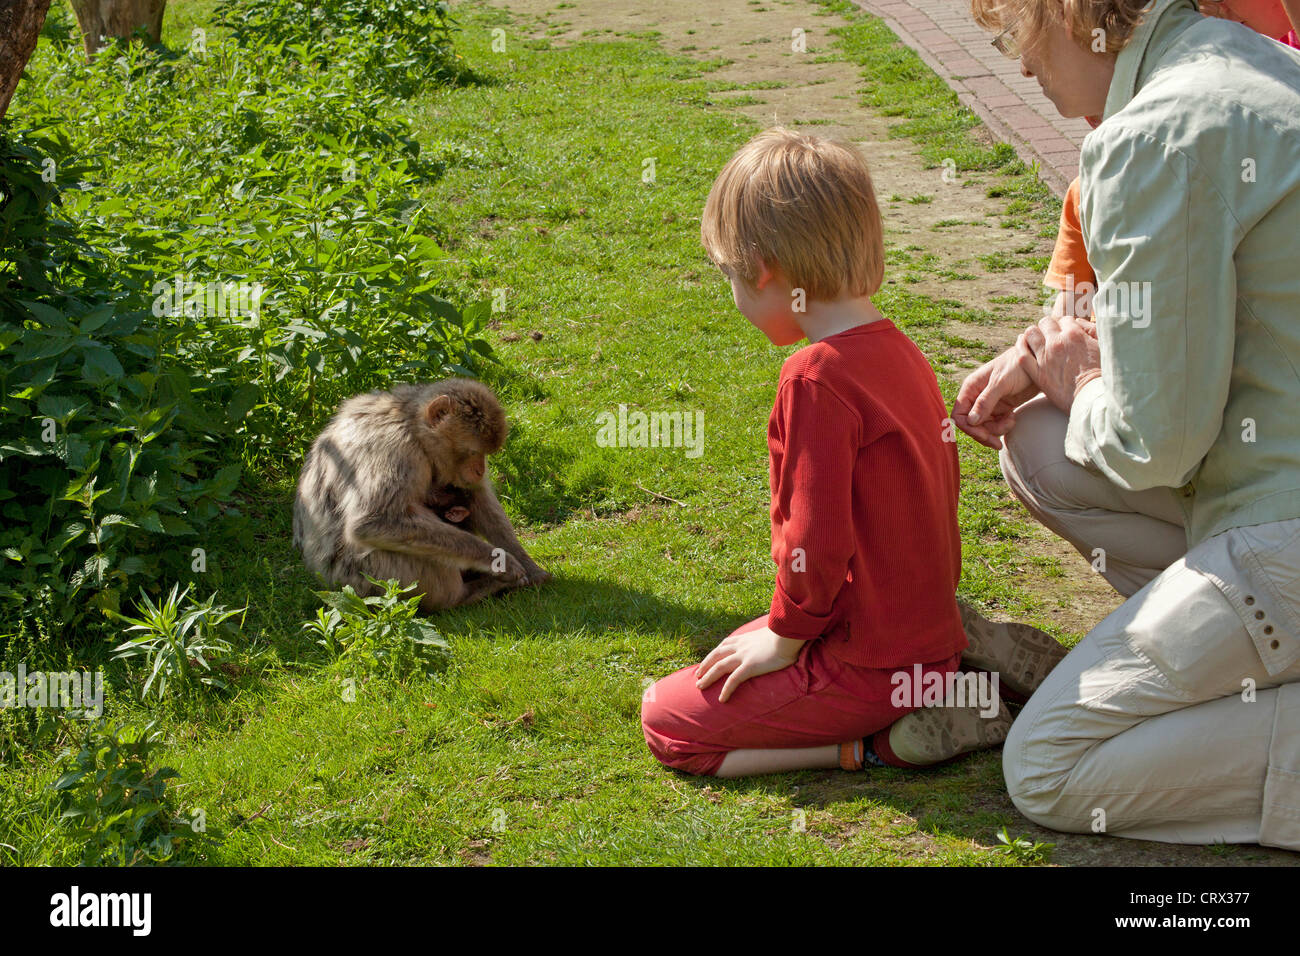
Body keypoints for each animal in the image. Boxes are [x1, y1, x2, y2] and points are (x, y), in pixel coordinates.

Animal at [293, 377, 548, 608]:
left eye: (485, 454)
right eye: (473, 452)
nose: (480, 469)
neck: (411, 425)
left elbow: (476, 495)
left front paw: (529, 566)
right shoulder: (396, 450)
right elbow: (372, 522)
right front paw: (500, 561)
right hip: (366, 580)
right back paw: (463, 595)